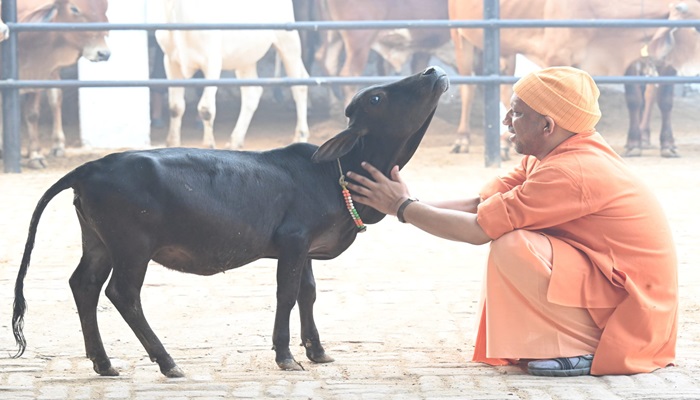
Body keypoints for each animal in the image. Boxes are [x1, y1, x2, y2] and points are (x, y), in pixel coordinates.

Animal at [0, 0, 110, 169]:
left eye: (105, 8)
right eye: (74, 8)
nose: (103, 53)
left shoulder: (38, 74)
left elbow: (32, 114)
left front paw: (36, 155)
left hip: (53, 73)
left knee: (55, 99)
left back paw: (57, 145)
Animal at [159, 0, 312, 149]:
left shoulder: (212, 62)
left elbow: (206, 109)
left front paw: (208, 144)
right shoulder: (170, 61)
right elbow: (175, 107)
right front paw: (172, 143)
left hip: (288, 41)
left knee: (300, 84)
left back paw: (300, 135)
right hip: (245, 57)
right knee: (252, 93)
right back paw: (235, 140)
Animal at [448, 0, 696, 158]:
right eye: (695, 28)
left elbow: (662, 100)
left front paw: (667, 145)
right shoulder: (556, 57)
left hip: (505, 50)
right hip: (461, 37)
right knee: (469, 89)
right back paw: (462, 139)